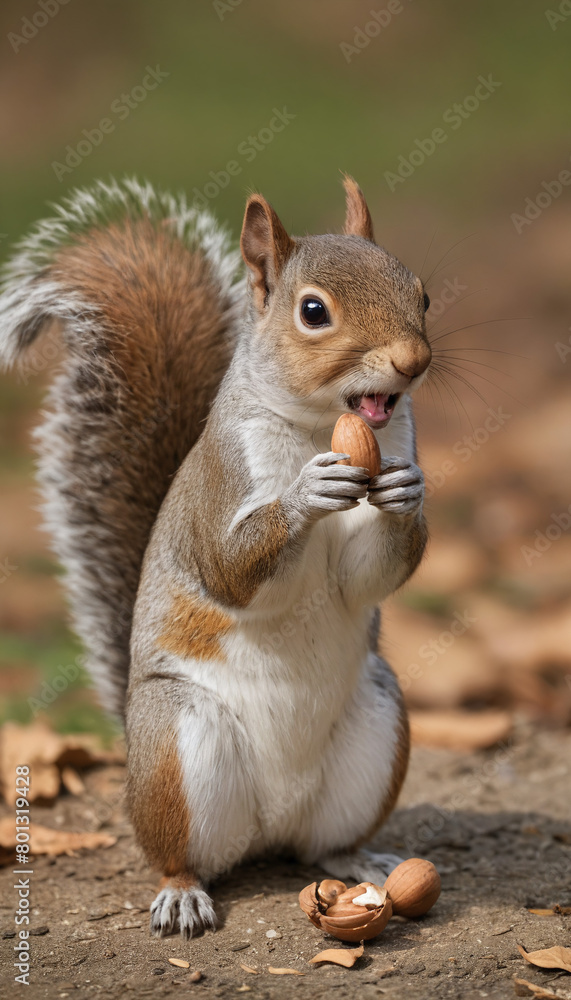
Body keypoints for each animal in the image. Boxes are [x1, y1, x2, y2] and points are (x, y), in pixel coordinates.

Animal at [0, 176, 432, 938]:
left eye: (423, 292)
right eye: (313, 311)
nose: (413, 362)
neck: (322, 427)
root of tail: (269, 828)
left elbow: (366, 577)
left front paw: (407, 493)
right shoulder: (221, 486)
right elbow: (230, 569)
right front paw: (305, 494)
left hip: (376, 726)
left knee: (323, 845)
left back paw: (363, 863)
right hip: (180, 745)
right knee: (180, 853)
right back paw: (182, 893)